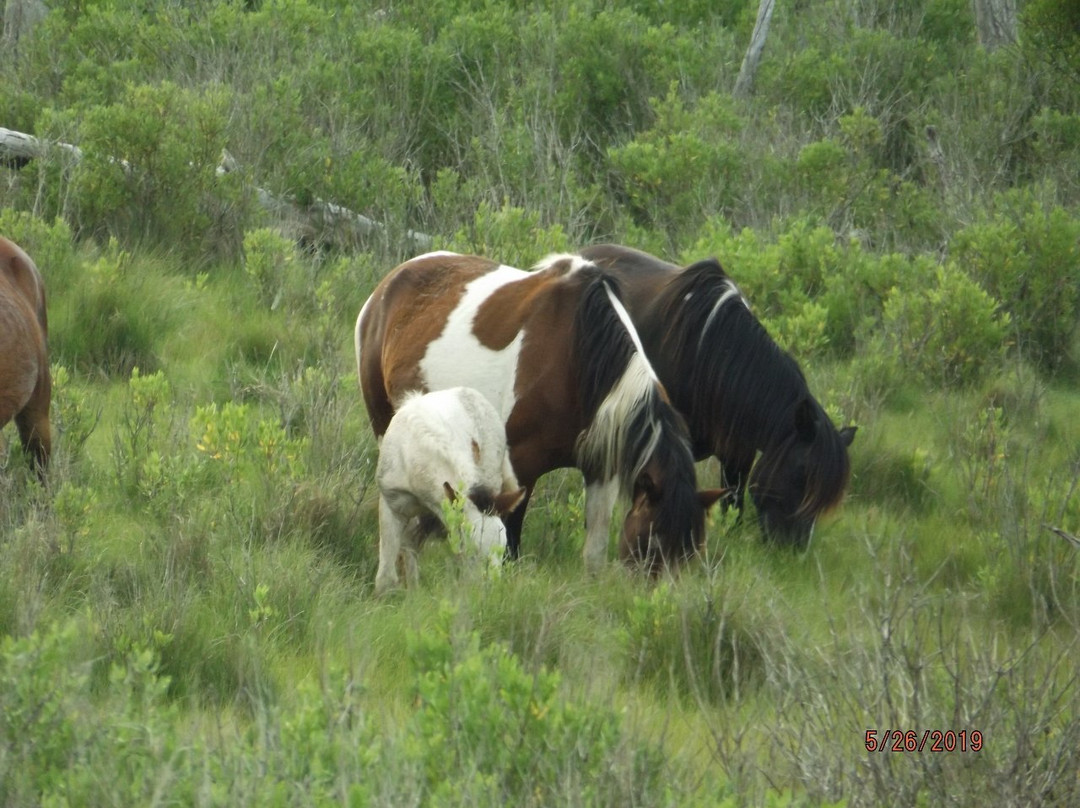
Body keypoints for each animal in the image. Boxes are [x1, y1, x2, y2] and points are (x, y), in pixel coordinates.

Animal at [356, 252, 725, 574]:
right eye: (650, 542)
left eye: (691, 553)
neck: (577, 357)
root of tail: (383, 292)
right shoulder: (521, 465)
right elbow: (510, 539)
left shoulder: (600, 466)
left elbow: (594, 548)